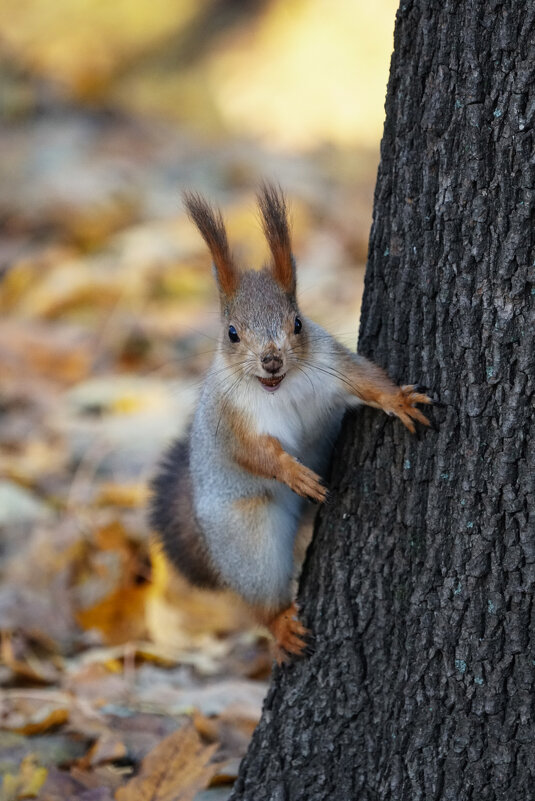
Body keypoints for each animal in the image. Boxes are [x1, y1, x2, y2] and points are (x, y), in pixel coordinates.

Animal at [150, 183, 432, 664]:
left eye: (297, 323)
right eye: (232, 333)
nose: (271, 360)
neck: (279, 388)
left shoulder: (333, 365)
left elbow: (367, 381)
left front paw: (398, 399)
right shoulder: (231, 419)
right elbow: (254, 452)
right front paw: (294, 472)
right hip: (245, 539)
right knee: (259, 593)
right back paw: (280, 624)